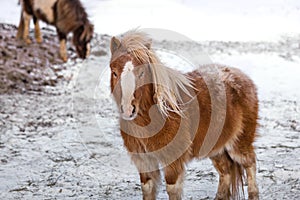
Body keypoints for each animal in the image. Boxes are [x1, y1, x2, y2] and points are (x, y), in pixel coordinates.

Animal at [109, 30, 258, 200]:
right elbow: (147, 189)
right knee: (225, 170)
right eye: (114, 72)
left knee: (250, 164)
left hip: (239, 144)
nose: (128, 109)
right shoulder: (144, 161)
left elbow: (172, 189)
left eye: (141, 73)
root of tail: (242, 77)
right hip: (215, 147)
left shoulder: (172, 160)